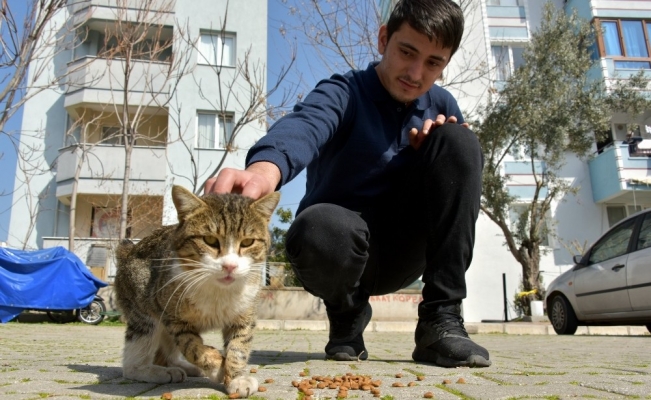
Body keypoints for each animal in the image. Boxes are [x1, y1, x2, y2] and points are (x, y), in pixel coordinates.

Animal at [114, 185, 280, 398]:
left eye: (247, 242)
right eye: (209, 240)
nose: (230, 266)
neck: (218, 290)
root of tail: (128, 251)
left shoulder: (245, 313)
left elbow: (239, 345)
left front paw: (237, 377)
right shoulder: (174, 318)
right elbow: (192, 346)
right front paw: (217, 368)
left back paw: (182, 367)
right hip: (143, 309)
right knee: (133, 360)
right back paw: (154, 371)